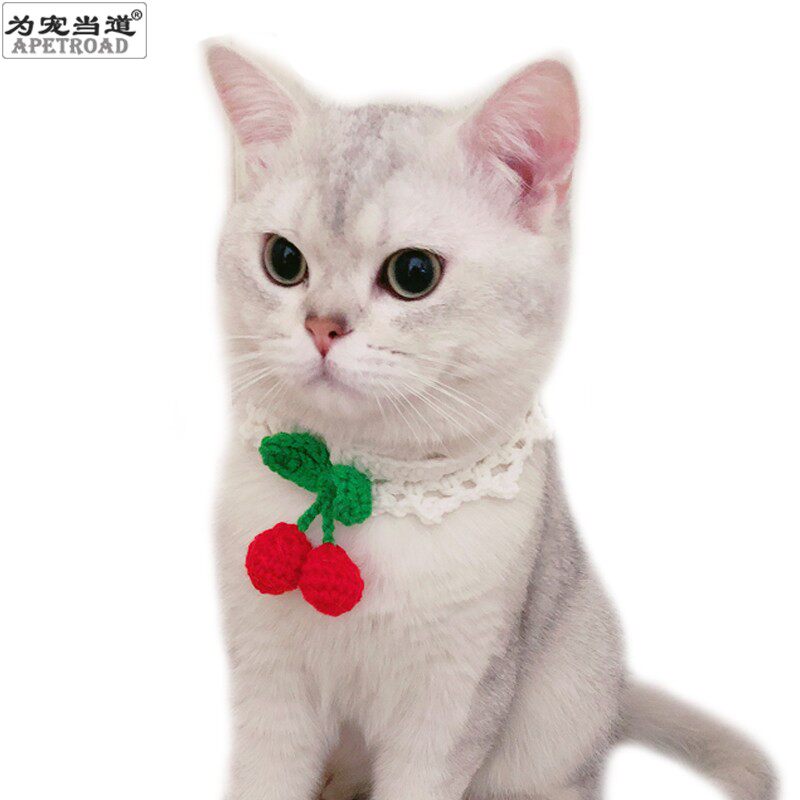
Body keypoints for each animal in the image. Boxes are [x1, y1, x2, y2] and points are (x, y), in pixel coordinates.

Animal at [207, 43, 776, 800]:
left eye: (413, 272)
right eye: (283, 260)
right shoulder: (269, 685)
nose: (323, 327)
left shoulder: (454, 703)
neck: (364, 484)